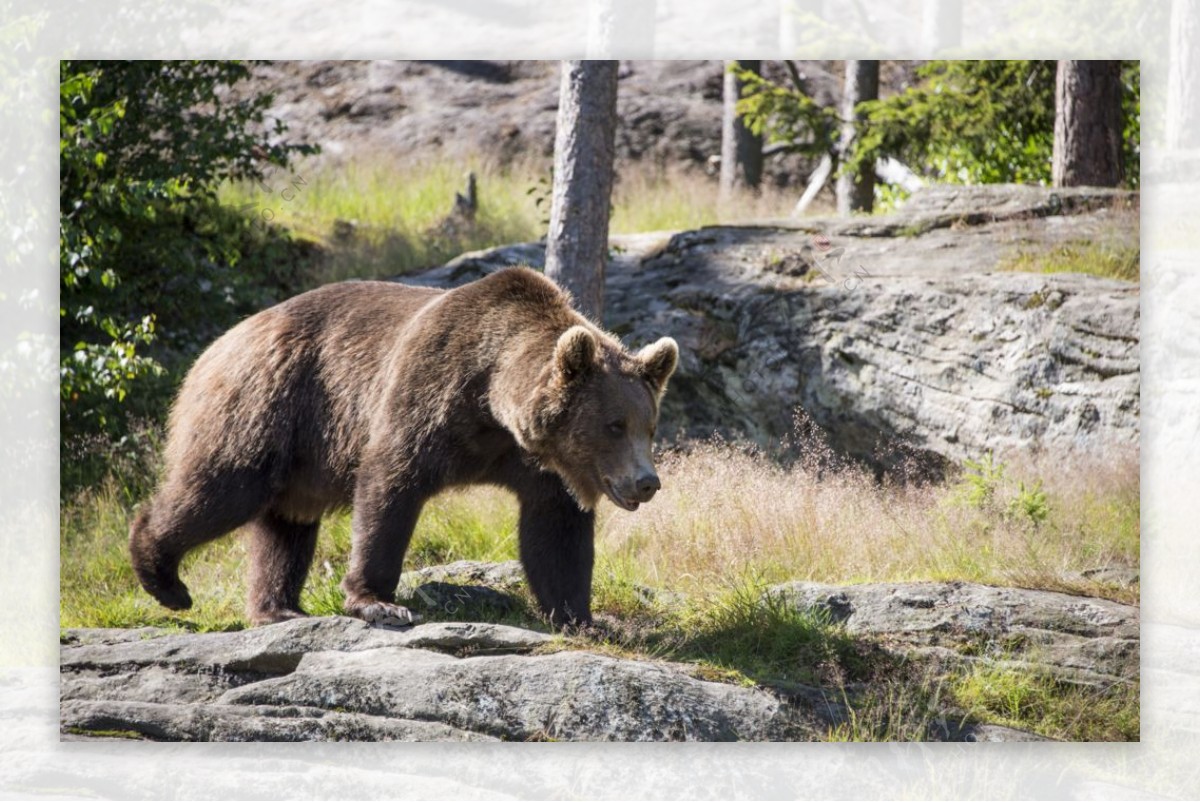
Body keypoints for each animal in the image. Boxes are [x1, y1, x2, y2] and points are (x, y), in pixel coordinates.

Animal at [132, 266, 681, 629]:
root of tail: (221, 341)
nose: (647, 482)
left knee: (286, 524)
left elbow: (556, 532)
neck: (491, 403)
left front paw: (581, 617)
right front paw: (379, 601)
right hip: (267, 404)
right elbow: (390, 486)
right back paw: (164, 577)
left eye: (649, 425)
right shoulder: (427, 396)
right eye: (614, 425)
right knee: (224, 488)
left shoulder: (537, 463)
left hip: (299, 454)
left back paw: (278, 607)